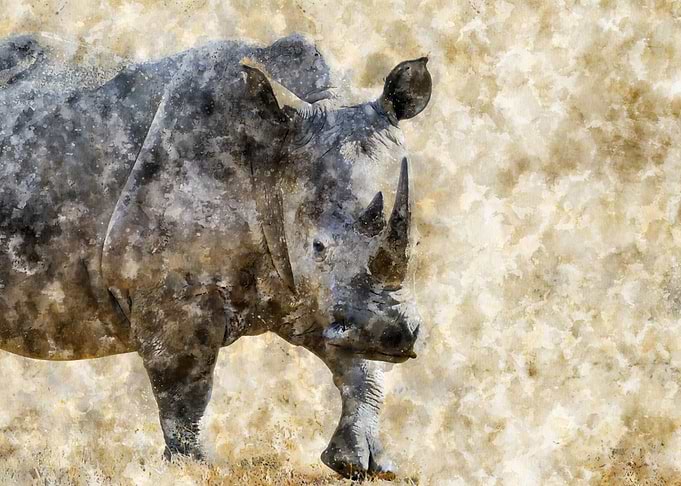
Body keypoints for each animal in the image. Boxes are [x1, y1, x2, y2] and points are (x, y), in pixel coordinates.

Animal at [0, 33, 432, 479]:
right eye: (318, 247)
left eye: (416, 245)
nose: (393, 336)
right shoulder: (171, 290)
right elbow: (186, 387)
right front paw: (193, 466)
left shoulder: (320, 296)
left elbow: (360, 366)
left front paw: (364, 465)